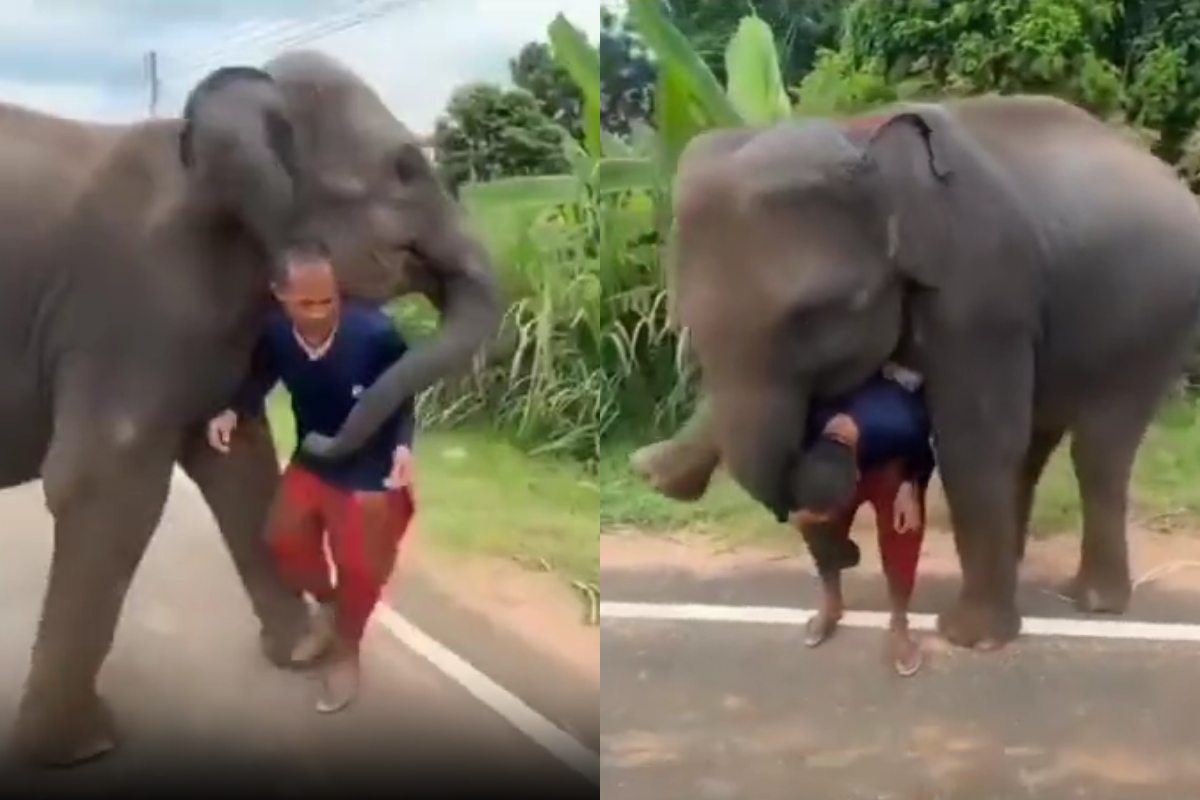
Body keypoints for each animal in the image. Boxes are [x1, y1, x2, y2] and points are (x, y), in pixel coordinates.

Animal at [0, 50, 501, 767]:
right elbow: (105, 480)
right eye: (405, 168)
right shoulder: (128, 306)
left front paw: (306, 652)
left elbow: (234, 454)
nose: (317, 442)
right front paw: (83, 747)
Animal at [632, 95, 1200, 651]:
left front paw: (969, 639)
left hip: (1149, 327)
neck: (863, 135)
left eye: (814, 316)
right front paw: (655, 470)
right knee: (1035, 443)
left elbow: (974, 442)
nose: (849, 552)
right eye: (682, 318)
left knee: (1098, 450)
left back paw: (1094, 603)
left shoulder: (981, 290)